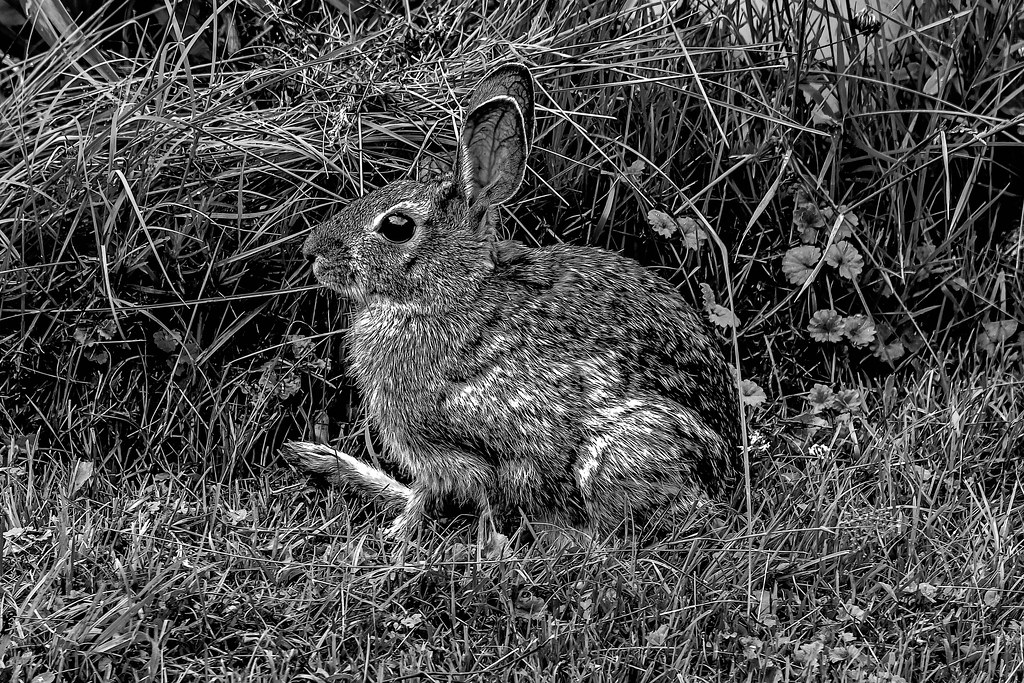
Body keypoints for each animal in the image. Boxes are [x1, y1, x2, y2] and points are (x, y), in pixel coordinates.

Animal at [286, 63, 741, 546]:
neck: (453, 291)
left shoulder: (454, 453)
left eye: (397, 227)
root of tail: (725, 476)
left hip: (615, 456)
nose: (311, 253)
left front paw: (395, 536)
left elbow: (430, 498)